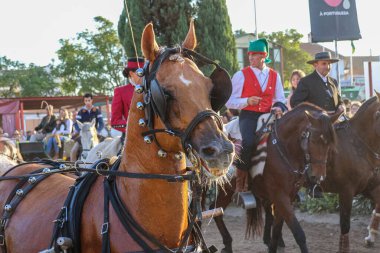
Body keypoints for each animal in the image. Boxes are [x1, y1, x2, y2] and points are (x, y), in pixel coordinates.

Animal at [205, 103, 338, 253]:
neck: (284, 149)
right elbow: (298, 233)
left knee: (216, 209)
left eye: (329, 144)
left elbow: (276, 230)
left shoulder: (288, 196)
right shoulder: (280, 196)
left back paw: (228, 244)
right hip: (225, 189)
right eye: (313, 140)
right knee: (212, 210)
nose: (318, 176)